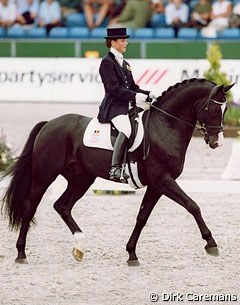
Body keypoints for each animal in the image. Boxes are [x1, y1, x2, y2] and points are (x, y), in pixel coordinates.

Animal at [0, 78, 233, 264]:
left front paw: (131, 254)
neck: (165, 127)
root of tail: (49, 123)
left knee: (62, 206)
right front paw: (211, 244)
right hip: (44, 175)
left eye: (226, 111)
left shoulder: (157, 185)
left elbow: (142, 217)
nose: (217, 143)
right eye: (214, 110)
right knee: (30, 207)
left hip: (81, 179)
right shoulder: (163, 180)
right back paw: (21, 254)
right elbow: (193, 206)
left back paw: (79, 247)